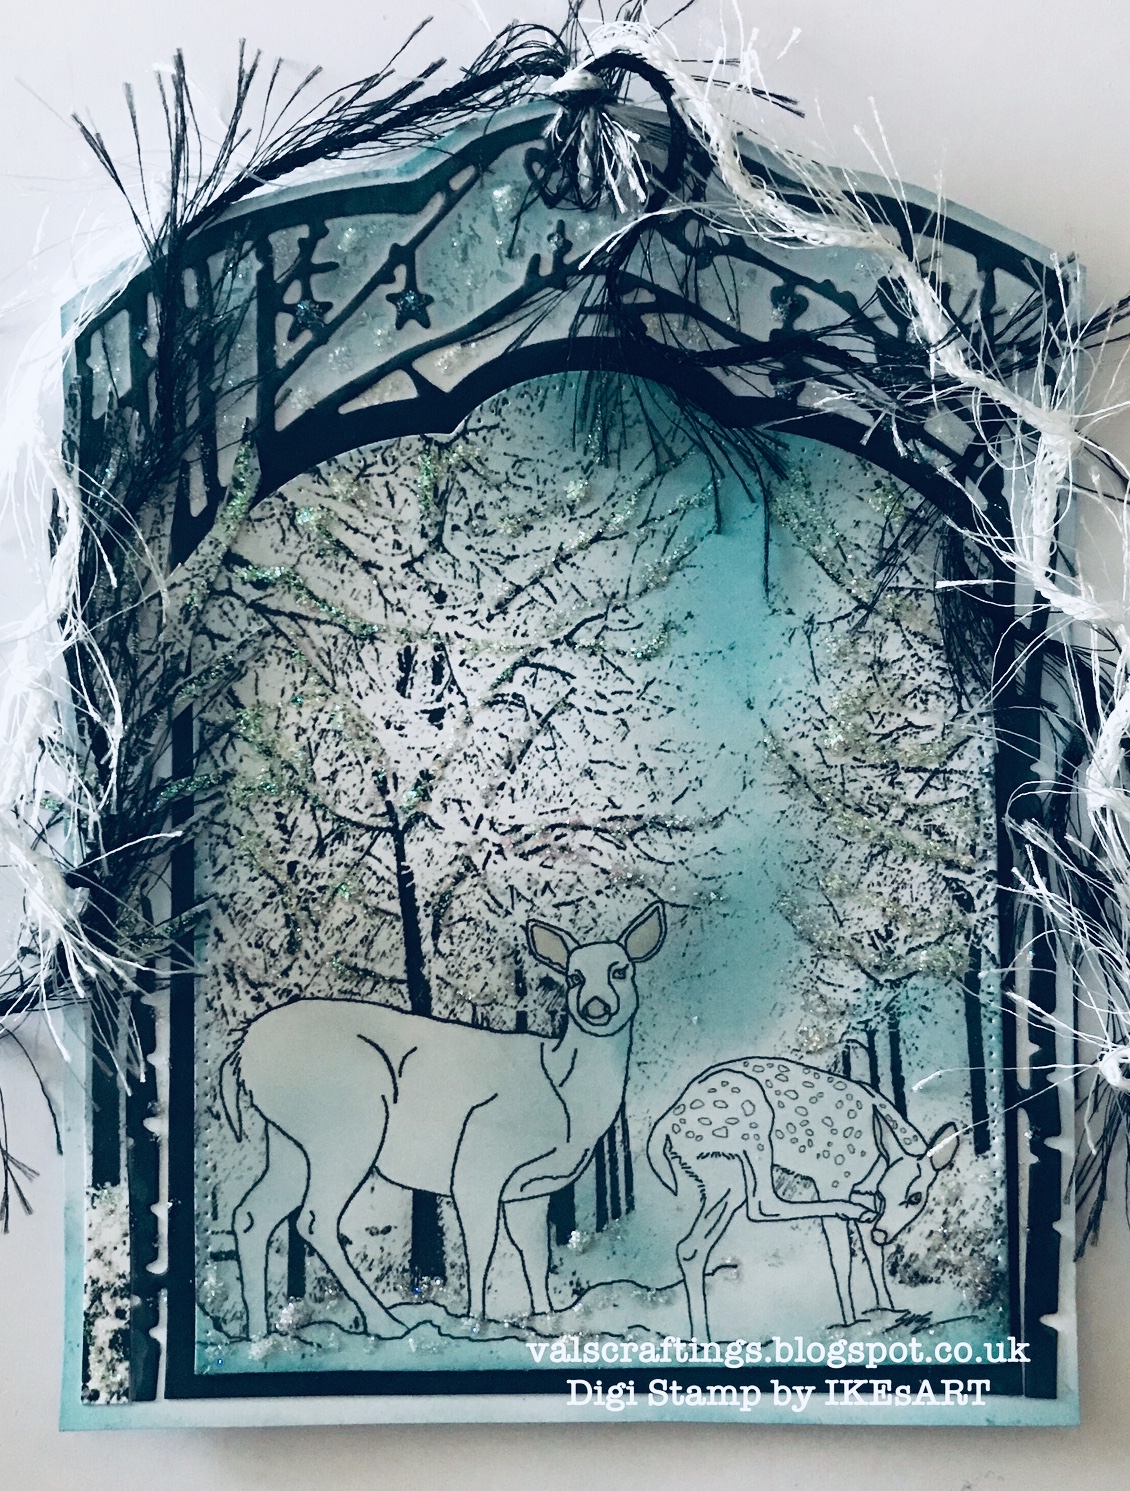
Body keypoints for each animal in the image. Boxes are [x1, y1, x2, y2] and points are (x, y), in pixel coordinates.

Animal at [220, 901, 667, 1339]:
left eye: (620, 970)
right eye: (574, 976)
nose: (596, 1006)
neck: (566, 1097)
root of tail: (243, 1051)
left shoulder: (529, 1190)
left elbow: (534, 1254)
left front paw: (547, 1318)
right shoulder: (477, 1163)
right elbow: (482, 1246)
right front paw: (475, 1321)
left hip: (290, 1141)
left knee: (253, 1215)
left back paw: (259, 1334)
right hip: (348, 1124)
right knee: (314, 1220)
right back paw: (386, 1323)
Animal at [647, 1056, 959, 1341]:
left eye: (915, 1198)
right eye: (891, 1194)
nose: (882, 1232)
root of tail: (665, 1127)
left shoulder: (865, 1197)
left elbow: (873, 1256)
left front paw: (888, 1310)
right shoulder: (832, 1180)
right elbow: (841, 1260)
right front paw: (851, 1323)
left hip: (723, 1176)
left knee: (691, 1247)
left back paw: (702, 1340)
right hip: (754, 1121)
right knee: (762, 1203)